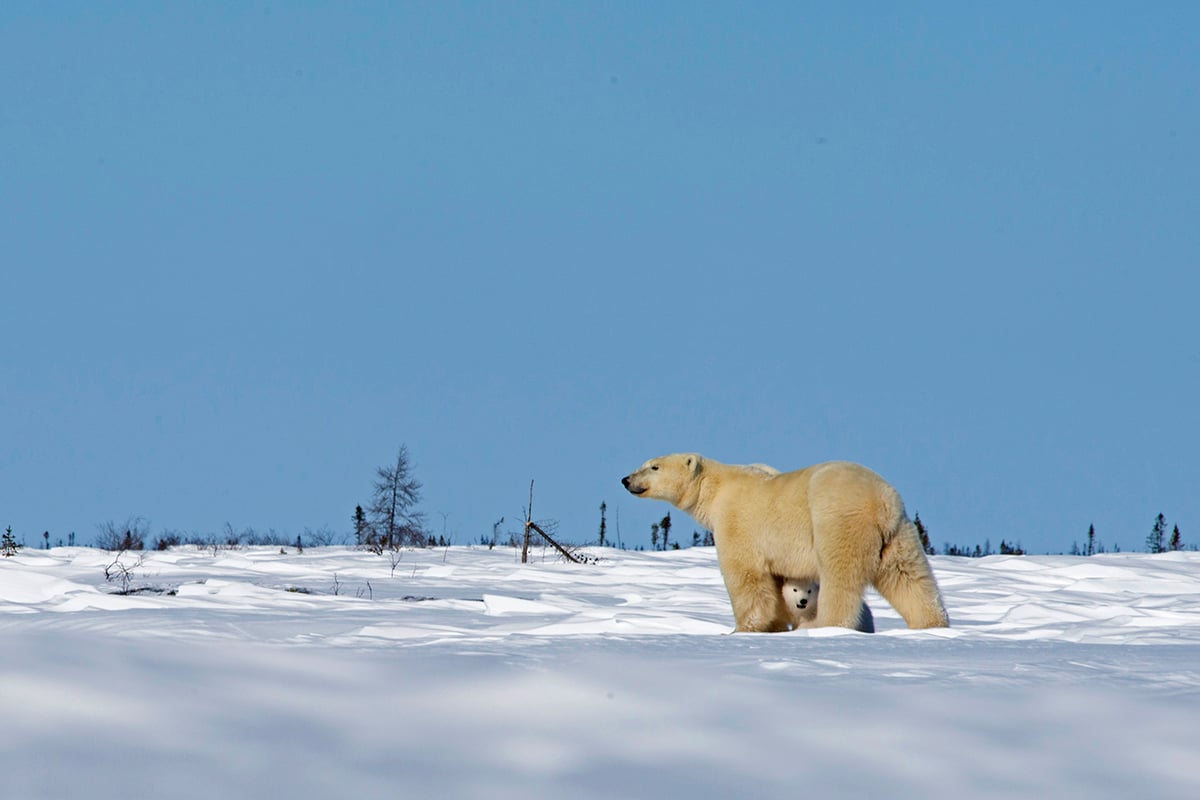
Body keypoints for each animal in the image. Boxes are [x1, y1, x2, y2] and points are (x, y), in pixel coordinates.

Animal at [624, 455, 950, 633]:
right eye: (643, 464)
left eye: (653, 466)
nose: (626, 479)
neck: (717, 489)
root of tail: (882, 500)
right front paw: (776, 625)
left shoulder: (738, 523)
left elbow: (746, 577)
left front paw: (742, 629)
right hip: (899, 534)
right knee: (909, 577)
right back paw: (931, 624)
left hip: (839, 520)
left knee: (840, 578)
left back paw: (825, 625)